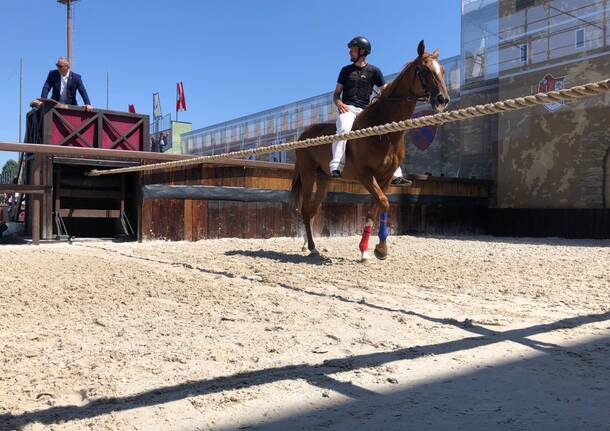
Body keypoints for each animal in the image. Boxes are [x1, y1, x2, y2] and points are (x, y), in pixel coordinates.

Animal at [288, 41, 448, 260]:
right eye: (424, 70)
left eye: (442, 70)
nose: (443, 99)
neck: (383, 131)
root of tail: (304, 134)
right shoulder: (365, 175)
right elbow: (383, 202)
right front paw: (377, 248)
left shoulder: (385, 178)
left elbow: (378, 207)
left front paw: (373, 249)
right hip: (308, 174)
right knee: (305, 210)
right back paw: (312, 247)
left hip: (323, 179)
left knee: (312, 209)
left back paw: (308, 245)